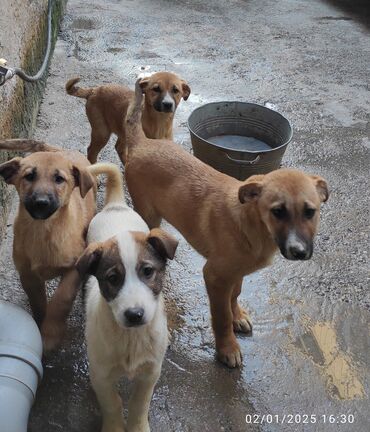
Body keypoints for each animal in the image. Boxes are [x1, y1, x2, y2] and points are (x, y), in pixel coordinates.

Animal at [0, 138, 97, 352]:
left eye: (59, 179)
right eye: (29, 176)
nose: (41, 203)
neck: (44, 231)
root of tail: (61, 150)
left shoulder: (74, 268)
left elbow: (61, 299)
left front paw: (51, 334)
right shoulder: (28, 275)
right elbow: (38, 302)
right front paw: (40, 325)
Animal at [76, 163, 178, 432]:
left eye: (148, 271)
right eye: (113, 278)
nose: (134, 315)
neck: (131, 337)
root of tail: (115, 204)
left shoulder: (151, 372)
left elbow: (139, 403)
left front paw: (137, 426)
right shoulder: (100, 374)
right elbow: (112, 402)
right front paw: (114, 427)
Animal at [122, 82, 330, 368]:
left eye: (310, 212)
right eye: (277, 212)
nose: (299, 252)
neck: (253, 226)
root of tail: (143, 142)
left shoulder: (235, 272)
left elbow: (236, 293)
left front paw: (237, 315)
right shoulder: (214, 275)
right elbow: (220, 318)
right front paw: (227, 348)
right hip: (147, 212)